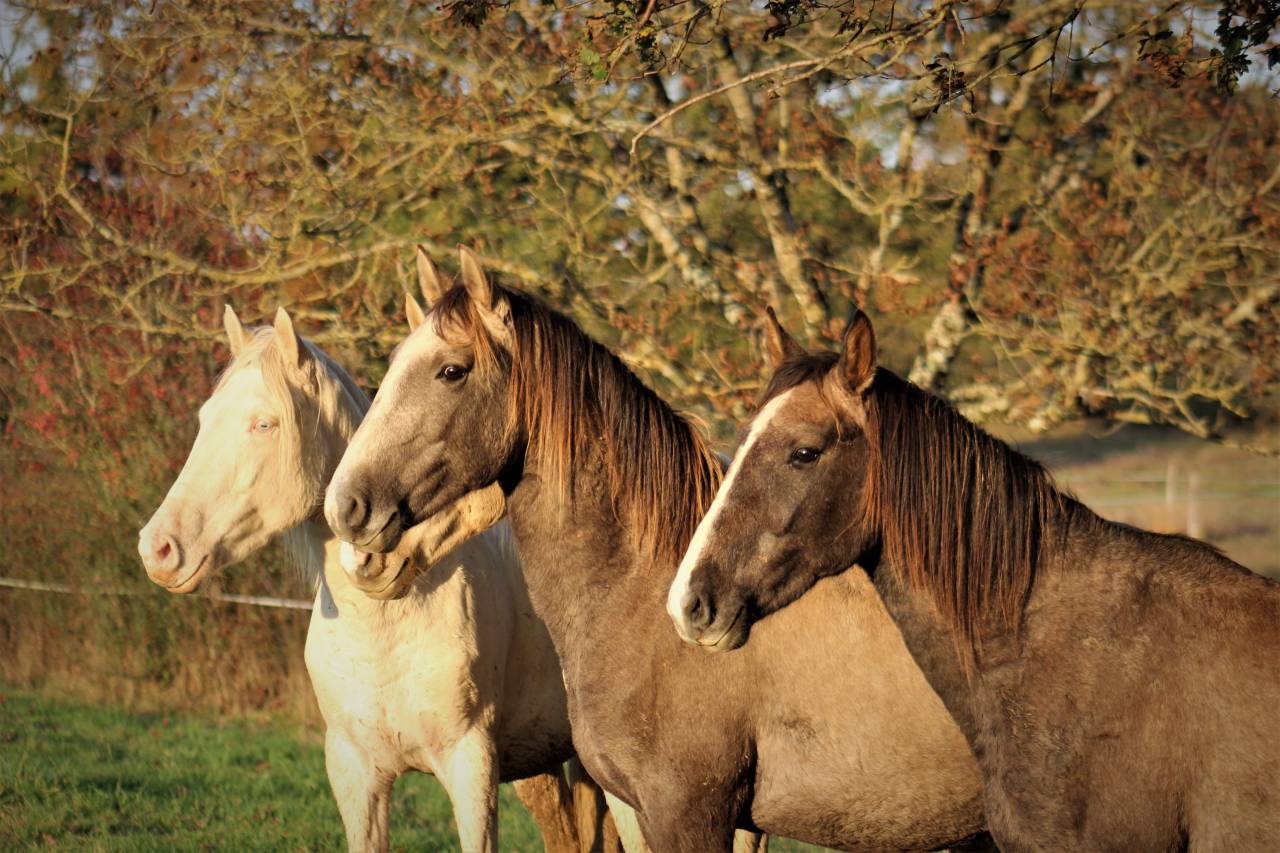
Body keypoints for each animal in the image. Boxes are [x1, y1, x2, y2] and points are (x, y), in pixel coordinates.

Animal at [137, 303, 619, 853]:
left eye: (264, 423)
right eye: (205, 419)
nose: (158, 548)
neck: (387, 621)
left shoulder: (472, 768)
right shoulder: (355, 774)